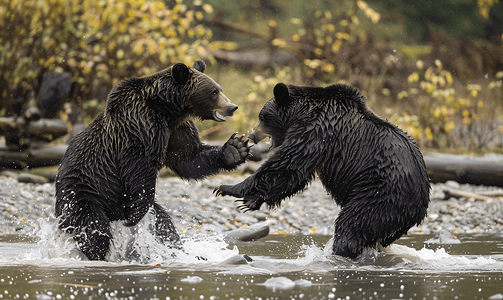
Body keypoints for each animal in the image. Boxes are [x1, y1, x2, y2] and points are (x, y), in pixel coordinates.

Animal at [56, 61, 252, 260]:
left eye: (219, 89)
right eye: (214, 92)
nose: (232, 107)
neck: (167, 109)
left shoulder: (177, 130)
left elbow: (188, 158)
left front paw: (235, 149)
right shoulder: (140, 127)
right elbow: (140, 169)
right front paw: (134, 216)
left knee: (163, 223)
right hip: (85, 192)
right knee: (93, 229)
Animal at [215, 82, 432, 260]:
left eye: (262, 117)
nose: (252, 134)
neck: (301, 113)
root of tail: (420, 206)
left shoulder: (317, 132)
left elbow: (289, 164)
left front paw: (228, 188)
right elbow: (290, 176)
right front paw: (251, 201)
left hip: (381, 193)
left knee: (352, 224)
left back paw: (340, 251)